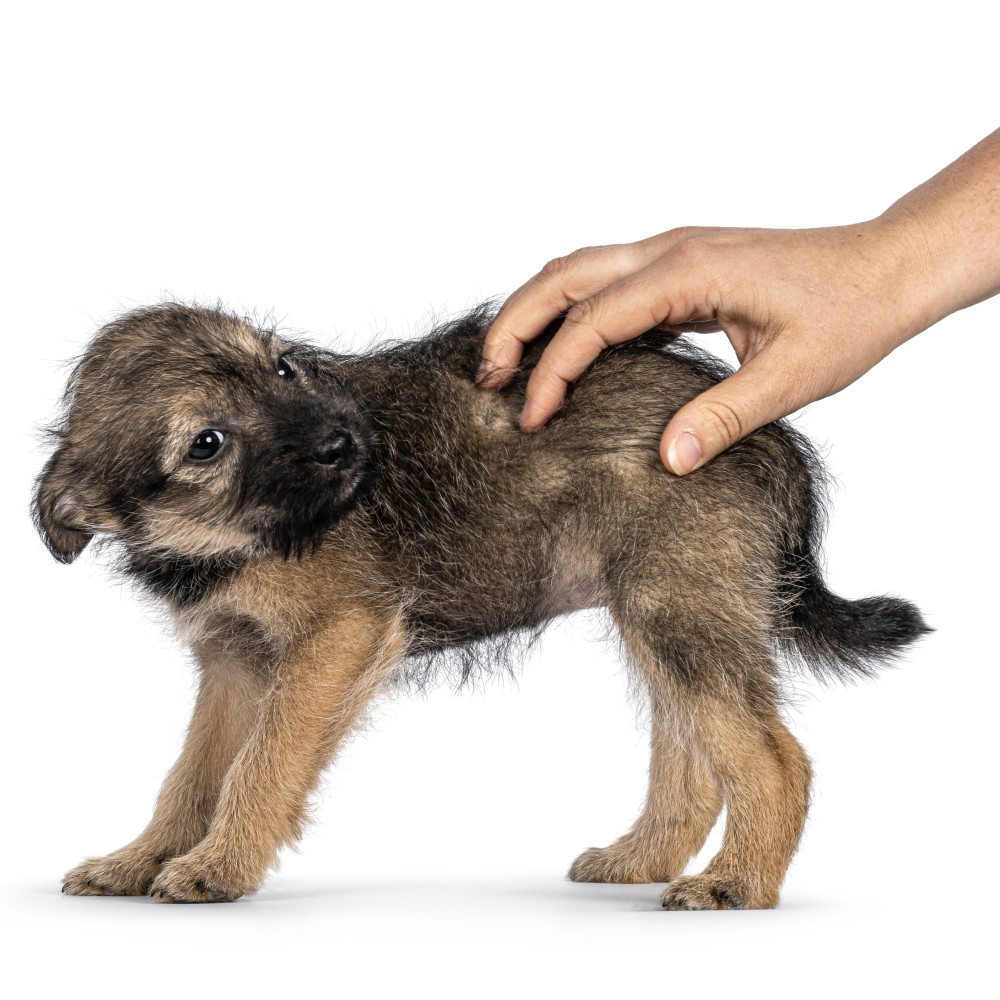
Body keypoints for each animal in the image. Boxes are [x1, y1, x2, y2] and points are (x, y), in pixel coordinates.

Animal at [33, 302, 928, 908]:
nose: (343, 443)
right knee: (695, 761)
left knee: (776, 761)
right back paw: (641, 860)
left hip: (677, 609)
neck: (232, 541)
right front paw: (139, 859)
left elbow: (263, 763)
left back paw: (737, 883)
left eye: (283, 368)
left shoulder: (336, 636)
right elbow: (191, 774)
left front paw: (220, 865)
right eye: (206, 444)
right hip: (668, 609)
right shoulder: (235, 663)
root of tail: (768, 433)